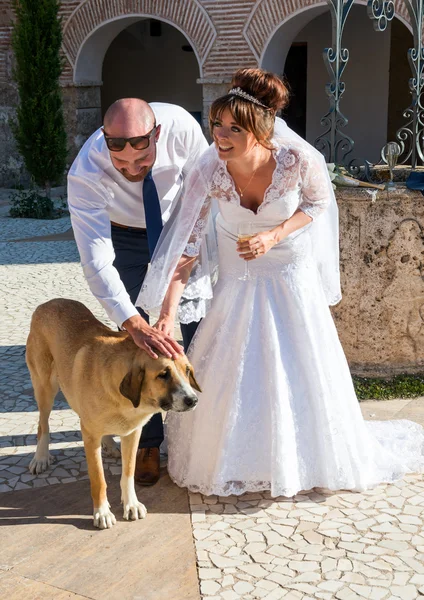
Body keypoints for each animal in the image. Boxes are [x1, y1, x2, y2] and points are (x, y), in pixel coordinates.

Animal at [25, 298, 200, 528]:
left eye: (187, 371)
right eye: (163, 374)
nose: (193, 400)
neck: (126, 401)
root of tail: (48, 303)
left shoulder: (132, 433)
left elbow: (128, 472)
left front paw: (131, 504)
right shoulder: (90, 436)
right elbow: (99, 479)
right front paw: (102, 513)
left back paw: (109, 444)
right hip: (45, 387)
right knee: (42, 424)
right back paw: (41, 457)